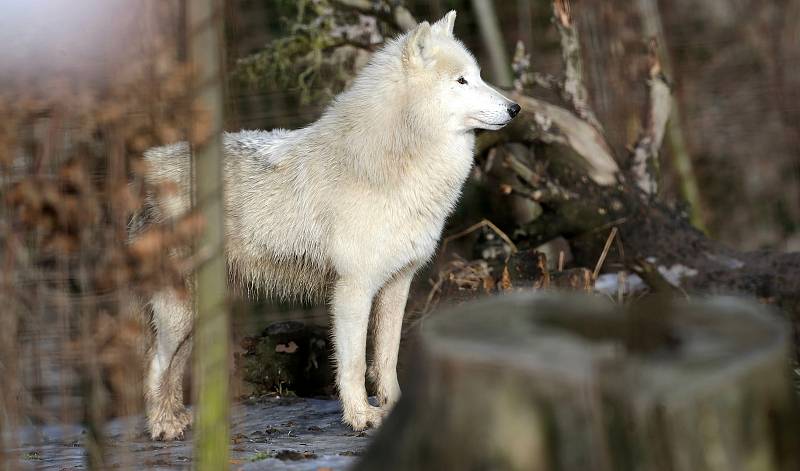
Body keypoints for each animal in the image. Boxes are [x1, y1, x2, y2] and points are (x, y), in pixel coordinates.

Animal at [137, 9, 520, 440]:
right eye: (461, 81)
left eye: (479, 75)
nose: (515, 109)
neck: (391, 162)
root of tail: (151, 163)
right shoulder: (353, 288)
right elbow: (353, 363)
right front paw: (361, 417)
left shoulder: (398, 283)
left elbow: (386, 360)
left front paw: (393, 409)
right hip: (178, 311)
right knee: (154, 363)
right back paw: (162, 427)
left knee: (172, 365)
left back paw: (177, 419)